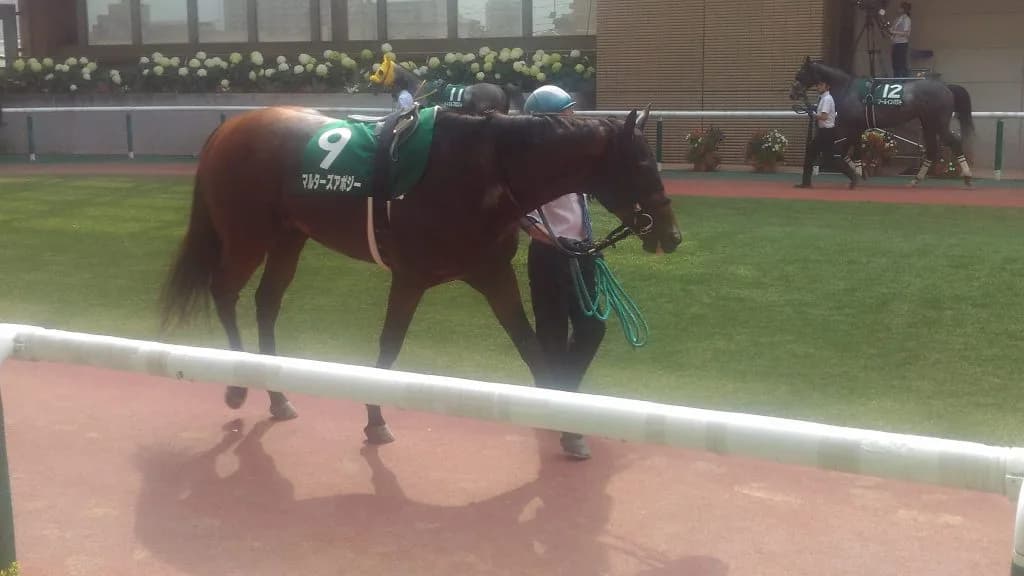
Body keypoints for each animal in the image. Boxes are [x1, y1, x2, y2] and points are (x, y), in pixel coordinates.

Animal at [159, 104, 682, 446]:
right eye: (641, 164)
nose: (672, 235)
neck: (484, 169)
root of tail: (229, 128)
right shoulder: (410, 277)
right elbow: (389, 348)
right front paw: (375, 420)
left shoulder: (493, 273)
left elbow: (530, 346)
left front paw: (565, 424)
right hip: (247, 236)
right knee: (224, 291)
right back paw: (237, 386)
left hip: (290, 237)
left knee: (266, 302)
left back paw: (278, 395)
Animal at [789, 57, 975, 188]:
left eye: (801, 73)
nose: (793, 93)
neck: (847, 88)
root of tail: (947, 87)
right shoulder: (857, 128)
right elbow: (851, 152)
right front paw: (859, 173)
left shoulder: (850, 127)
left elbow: (845, 151)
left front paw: (857, 175)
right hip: (927, 123)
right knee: (931, 149)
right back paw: (915, 180)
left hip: (938, 122)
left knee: (954, 142)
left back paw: (967, 177)